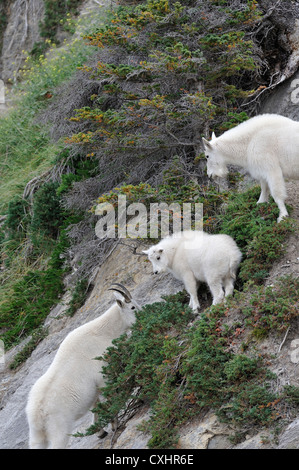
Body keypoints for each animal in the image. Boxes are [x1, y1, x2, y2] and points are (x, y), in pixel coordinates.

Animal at [25, 284, 141, 450]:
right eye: (132, 307)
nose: (144, 315)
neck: (103, 332)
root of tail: (38, 414)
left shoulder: (94, 388)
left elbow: (96, 404)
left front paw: (101, 432)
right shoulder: (104, 376)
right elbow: (109, 398)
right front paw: (114, 425)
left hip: (36, 436)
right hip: (59, 430)